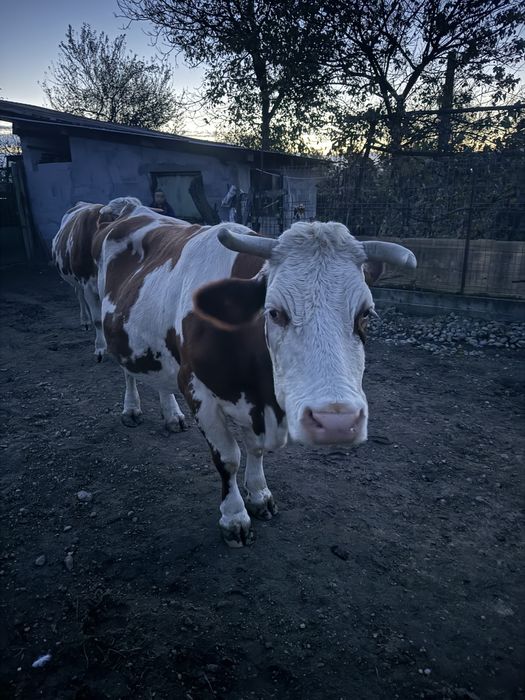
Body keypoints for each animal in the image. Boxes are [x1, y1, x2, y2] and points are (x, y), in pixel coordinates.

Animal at [52, 197, 141, 360]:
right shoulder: (87, 284)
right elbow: (98, 320)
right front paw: (100, 347)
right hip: (77, 281)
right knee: (79, 295)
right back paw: (85, 320)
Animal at [97, 206, 416, 546]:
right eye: (274, 312)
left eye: (366, 313)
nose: (336, 422)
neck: (262, 390)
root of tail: (133, 212)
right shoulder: (197, 390)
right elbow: (228, 458)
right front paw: (234, 517)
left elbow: (256, 449)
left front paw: (260, 495)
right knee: (128, 373)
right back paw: (131, 409)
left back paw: (171, 415)